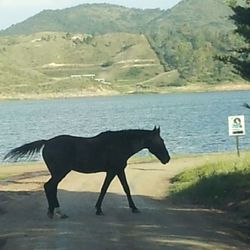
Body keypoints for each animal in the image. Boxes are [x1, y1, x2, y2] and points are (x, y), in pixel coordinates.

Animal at [3, 127, 171, 219]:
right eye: (160, 141)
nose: (167, 159)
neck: (118, 144)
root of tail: (47, 142)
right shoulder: (116, 170)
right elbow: (122, 189)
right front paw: (133, 208)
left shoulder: (113, 171)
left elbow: (108, 189)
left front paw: (98, 209)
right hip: (60, 172)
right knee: (49, 187)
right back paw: (57, 212)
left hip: (58, 173)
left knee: (51, 188)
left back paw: (53, 211)